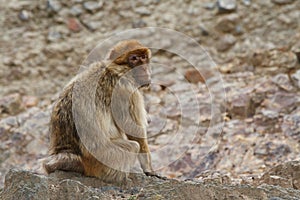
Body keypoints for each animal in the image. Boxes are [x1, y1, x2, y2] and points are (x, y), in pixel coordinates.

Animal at [42, 39, 162, 183]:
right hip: (105, 159)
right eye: (134, 58)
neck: (116, 67)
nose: (143, 69)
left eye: (143, 57)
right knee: (133, 146)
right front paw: (149, 169)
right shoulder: (126, 88)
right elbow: (132, 129)